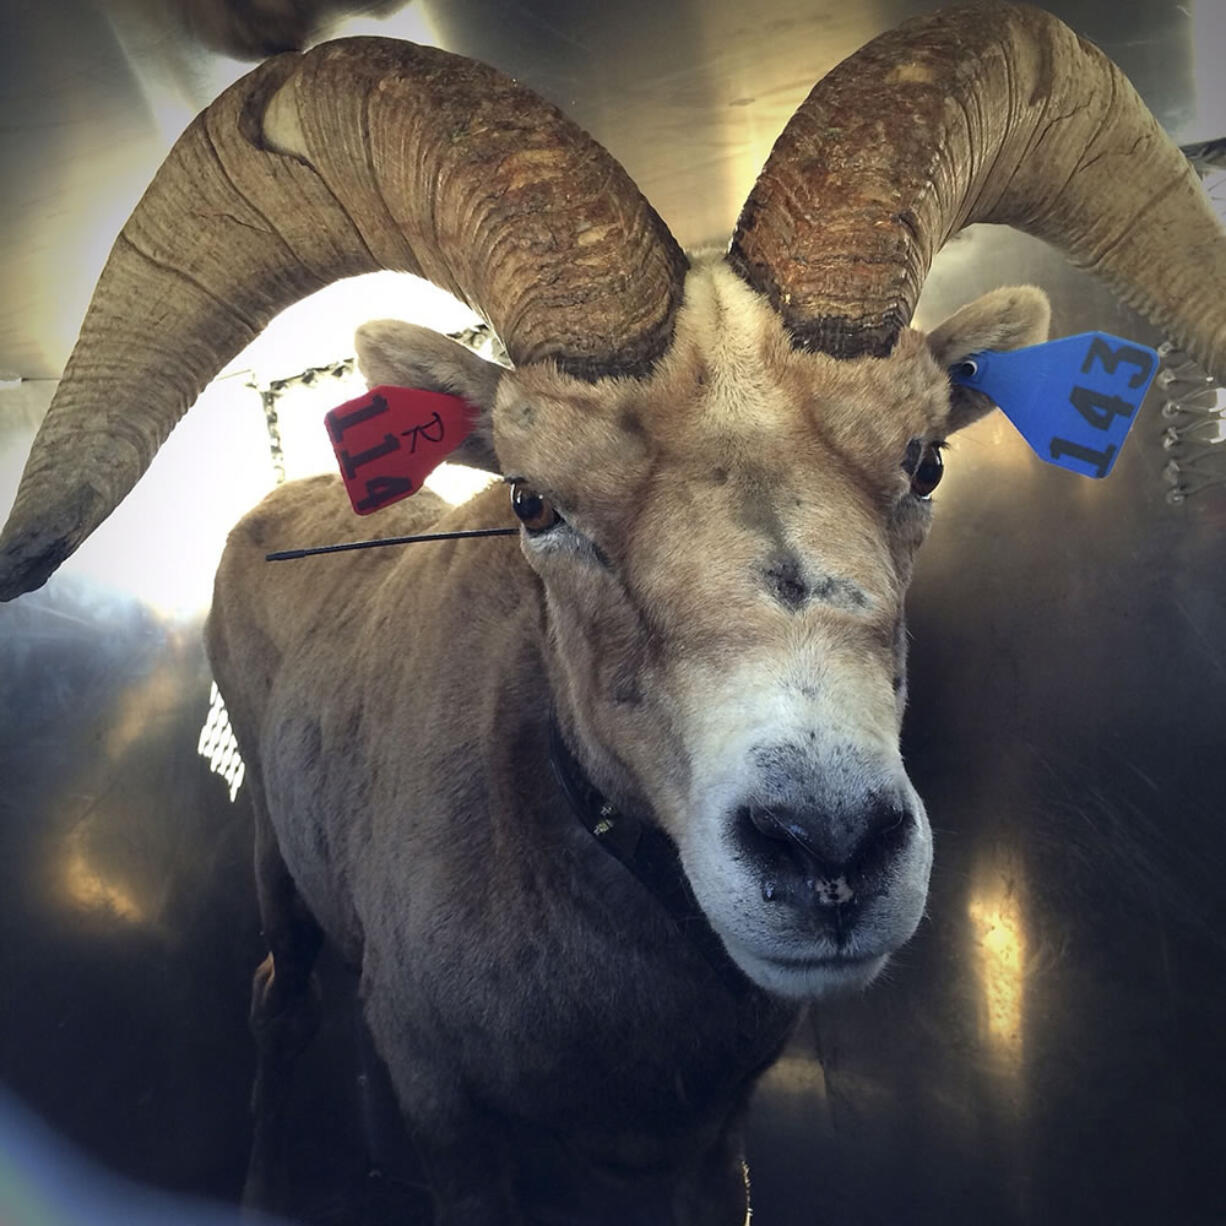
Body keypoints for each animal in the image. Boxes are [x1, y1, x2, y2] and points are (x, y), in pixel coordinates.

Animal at [2, 2, 1226, 1226]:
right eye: (532, 500)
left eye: (925, 461)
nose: (828, 852)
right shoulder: (455, 1124)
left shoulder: (712, 1139)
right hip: (271, 857)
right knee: (280, 999)